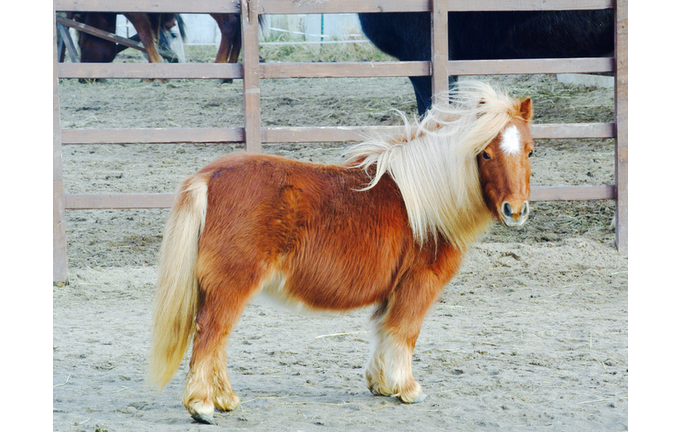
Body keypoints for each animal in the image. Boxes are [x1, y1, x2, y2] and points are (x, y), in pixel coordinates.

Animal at [149, 82, 536, 424]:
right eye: (485, 152)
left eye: (531, 151)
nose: (514, 211)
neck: (425, 200)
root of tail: (208, 177)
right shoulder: (418, 284)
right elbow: (405, 332)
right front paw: (408, 389)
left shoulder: (391, 290)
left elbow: (383, 330)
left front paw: (381, 384)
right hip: (231, 285)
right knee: (210, 335)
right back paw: (202, 405)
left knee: (217, 340)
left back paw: (226, 399)